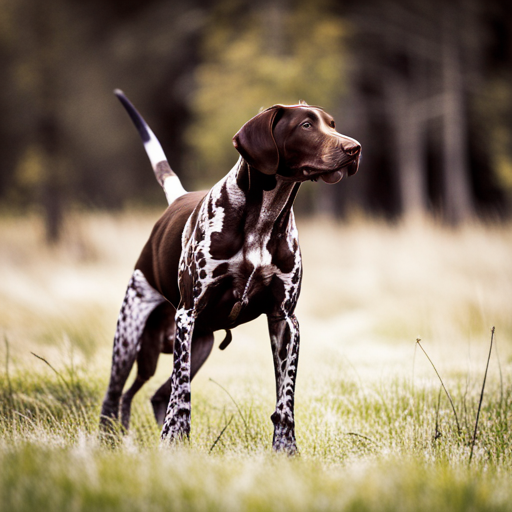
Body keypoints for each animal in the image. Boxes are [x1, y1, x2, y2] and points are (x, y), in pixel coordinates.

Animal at [100, 91, 360, 452]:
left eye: (332, 124)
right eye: (306, 126)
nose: (355, 148)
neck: (264, 217)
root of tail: (176, 198)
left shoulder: (285, 321)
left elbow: (285, 399)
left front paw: (285, 449)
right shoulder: (188, 315)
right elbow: (182, 395)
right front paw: (174, 436)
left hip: (200, 345)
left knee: (154, 395)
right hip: (132, 334)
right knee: (117, 395)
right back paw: (112, 439)